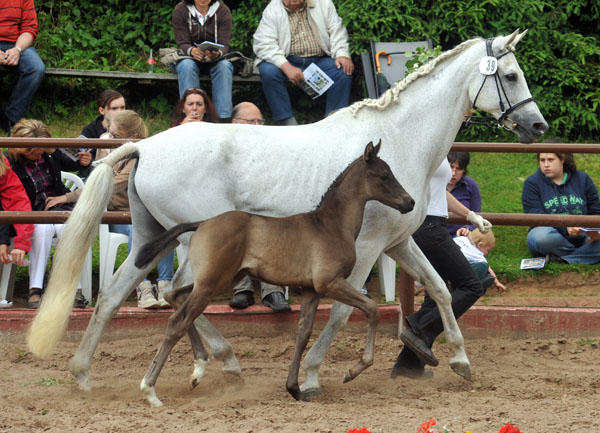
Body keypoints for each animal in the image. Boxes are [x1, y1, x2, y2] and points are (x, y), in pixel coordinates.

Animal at [135, 139, 412, 404]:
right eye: (384, 175)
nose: (410, 202)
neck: (331, 225)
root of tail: (202, 223)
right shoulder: (330, 283)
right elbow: (372, 309)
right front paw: (353, 371)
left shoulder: (311, 290)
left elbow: (303, 333)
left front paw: (295, 389)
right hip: (211, 283)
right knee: (177, 321)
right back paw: (150, 390)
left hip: (220, 280)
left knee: (175, 297)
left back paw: (198, 370)